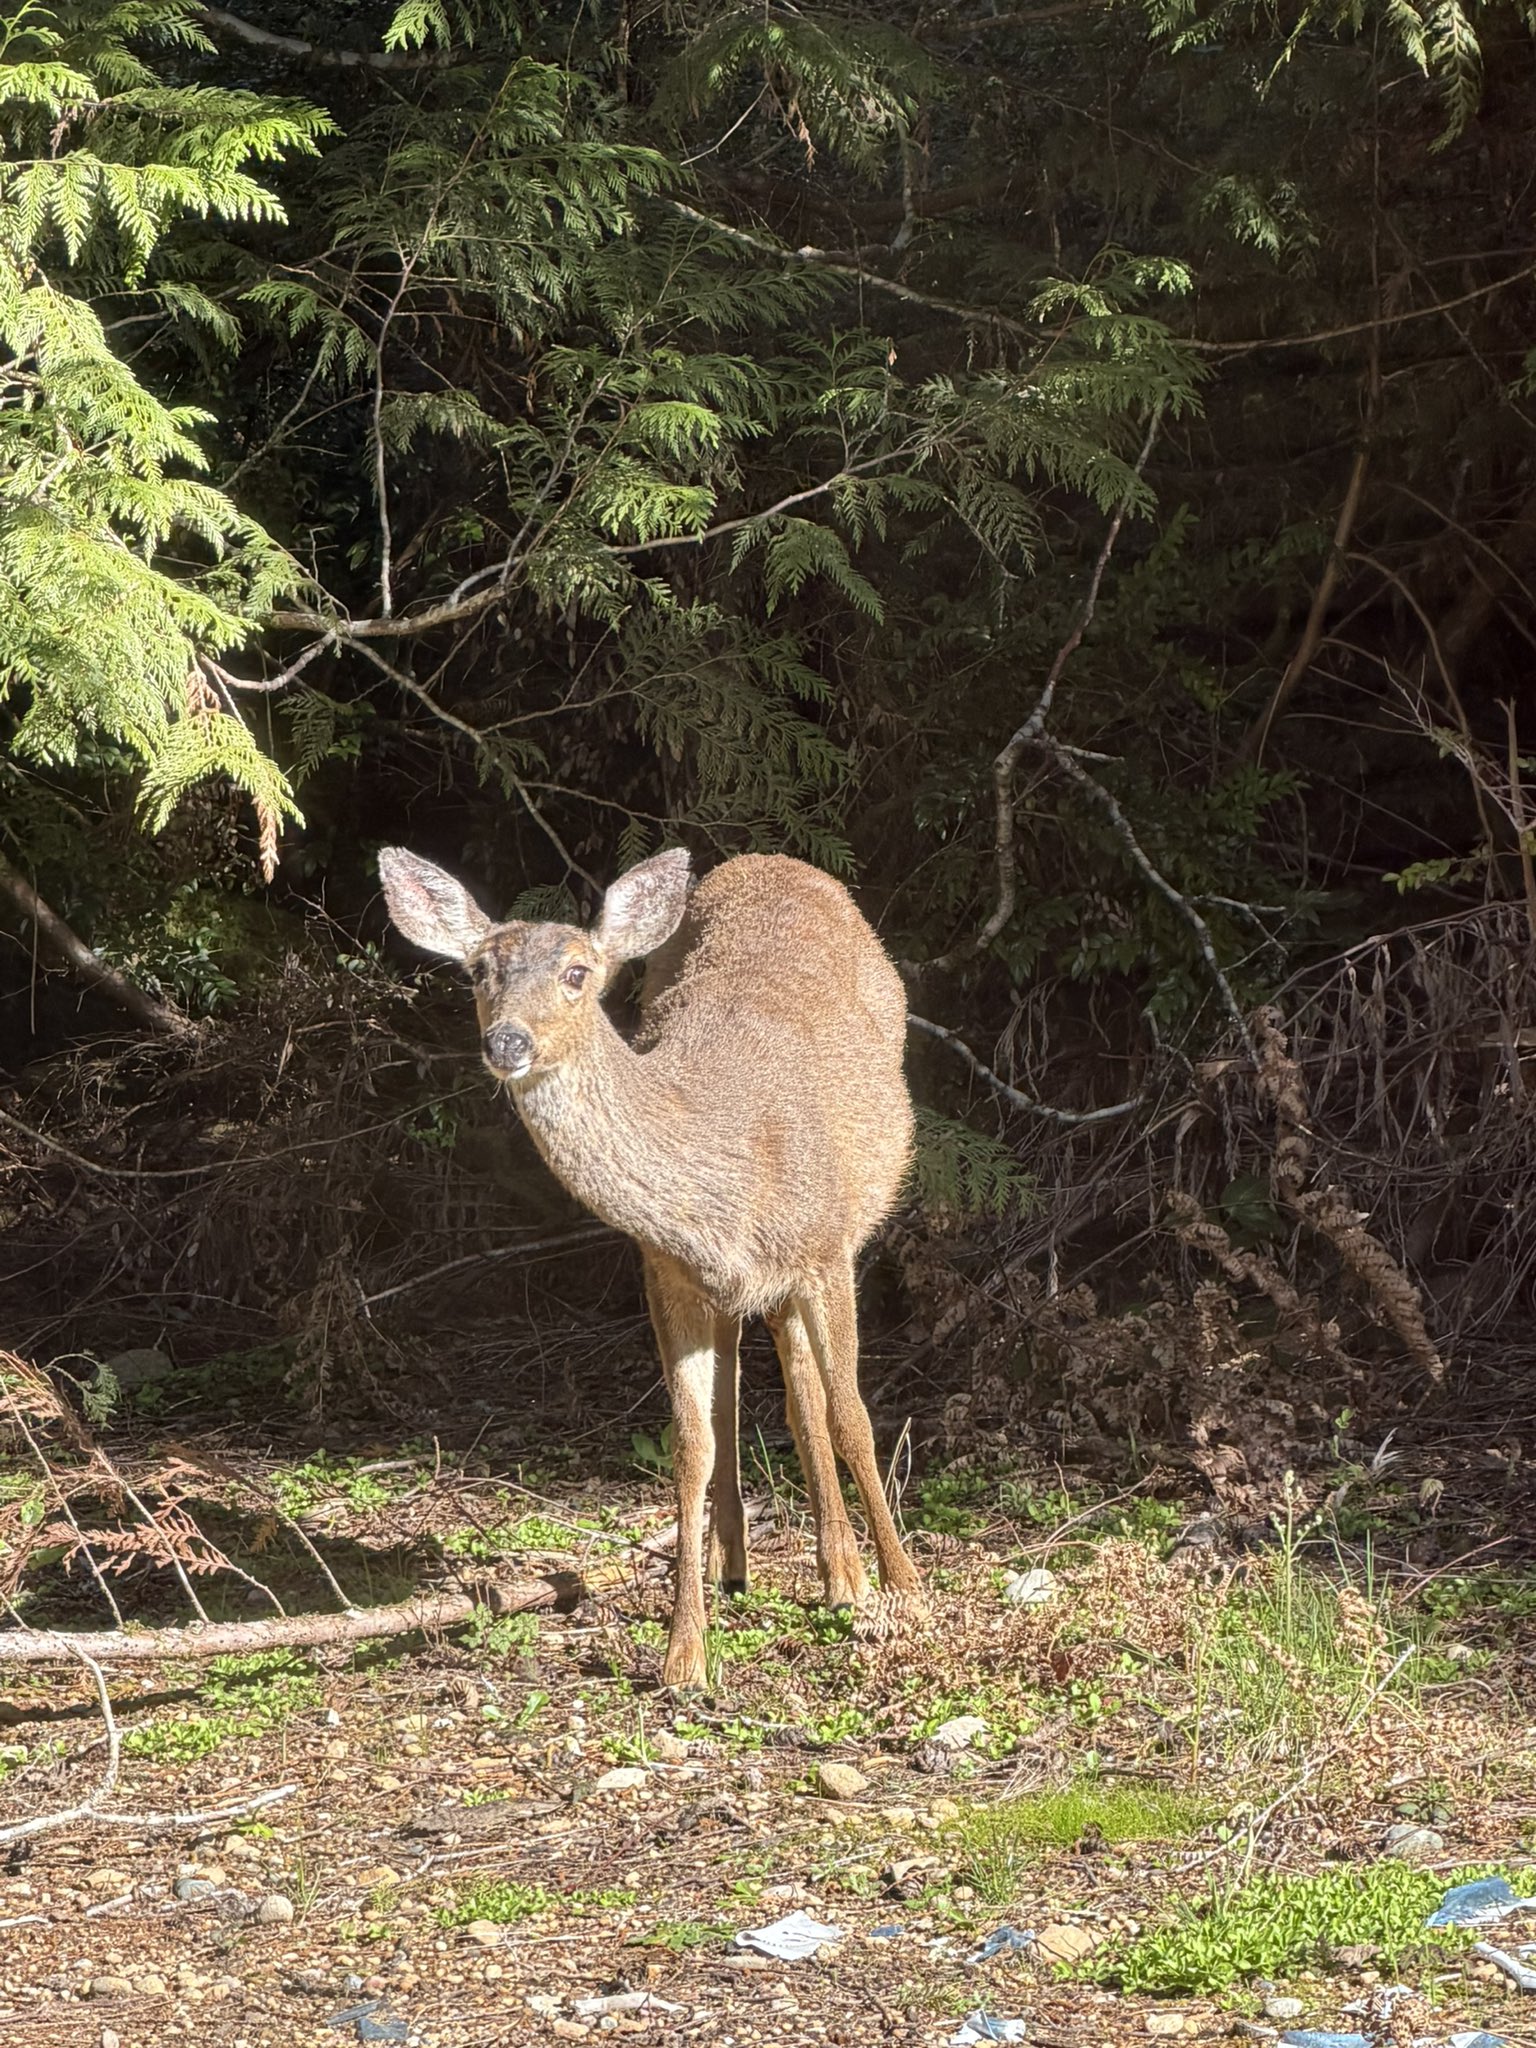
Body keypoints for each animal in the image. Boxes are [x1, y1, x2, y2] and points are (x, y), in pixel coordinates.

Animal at [377, 843, 924, 1689]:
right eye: (478, 969)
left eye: (577, 972)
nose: (508, 1044)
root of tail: (775, 858)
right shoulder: (665, 1275)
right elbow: (690, 1446)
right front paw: (684, 1653)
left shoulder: (826, 1248)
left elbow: (854, 1416)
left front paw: (909, 1593)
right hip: (732, 1293)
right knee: (753, 1393)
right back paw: (760, 1567)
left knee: (807, 1392)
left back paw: (846, 1576)